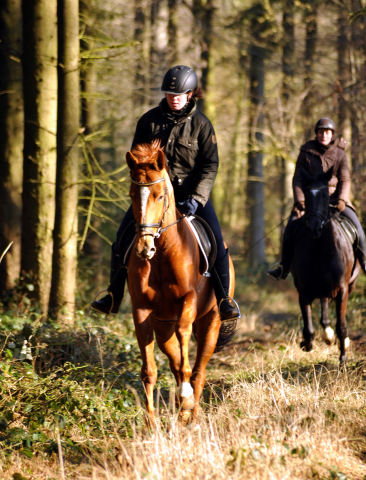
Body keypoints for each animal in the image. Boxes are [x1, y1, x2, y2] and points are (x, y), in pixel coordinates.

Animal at [124, 139, 236, 424]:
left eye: (160, 196)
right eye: (132, 195)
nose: (144, 248)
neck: (163, 253)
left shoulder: (189, 301)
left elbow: (185, 338)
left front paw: (185, 396)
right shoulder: (141, 310)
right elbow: (149, 370)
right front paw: (151, 423)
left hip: (211, 322)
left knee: (198, 370)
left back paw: (190, 411)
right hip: (163, 326)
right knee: (174, 361)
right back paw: (181, 409)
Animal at [292, 167, 360, 362]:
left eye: (324, 196)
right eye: (306, 196)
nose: (315, 227)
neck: (321, 250)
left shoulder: (343, 289)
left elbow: (342, 326)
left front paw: (343, 358)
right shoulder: (303, 291)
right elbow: (308, 330)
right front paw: (305, 343)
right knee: (323, 306)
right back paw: (327, 335)